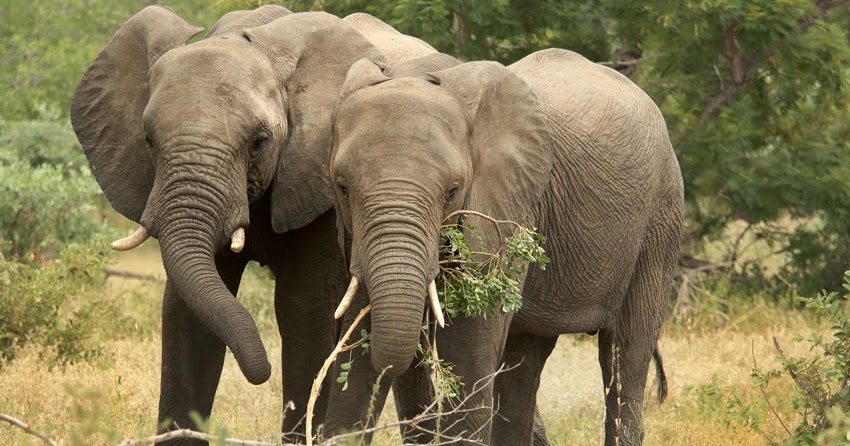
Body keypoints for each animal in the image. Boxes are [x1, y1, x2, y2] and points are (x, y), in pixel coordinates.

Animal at [70, 5, 445, 444]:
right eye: (147, 139)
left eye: (259, 141)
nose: (259, 372)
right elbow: (187, 312)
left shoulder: (319, 183)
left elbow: (304, 310)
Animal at [326, 49, 684, 445]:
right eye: (342, 187)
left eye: (453, 190)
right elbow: (358, 341)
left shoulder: (509, 211)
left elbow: (468, 344)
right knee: (525, 360)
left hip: (660, 218)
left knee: (625, 351)